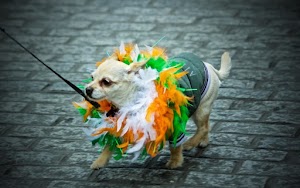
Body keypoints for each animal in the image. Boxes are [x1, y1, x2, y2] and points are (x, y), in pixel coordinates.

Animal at [85, 51, 231, 169]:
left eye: (106, 82)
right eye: (92, 77)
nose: (87, 89)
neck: (130, 101)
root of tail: (211, 67)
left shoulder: (174, 124)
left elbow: (175, 146)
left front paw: (175, 161)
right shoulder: (123, 124)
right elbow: (108, 146)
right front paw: (99, 162)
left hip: (201, 109)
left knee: (203, 127)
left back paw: (190, 143)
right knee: (206, 125)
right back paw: (203, 141)